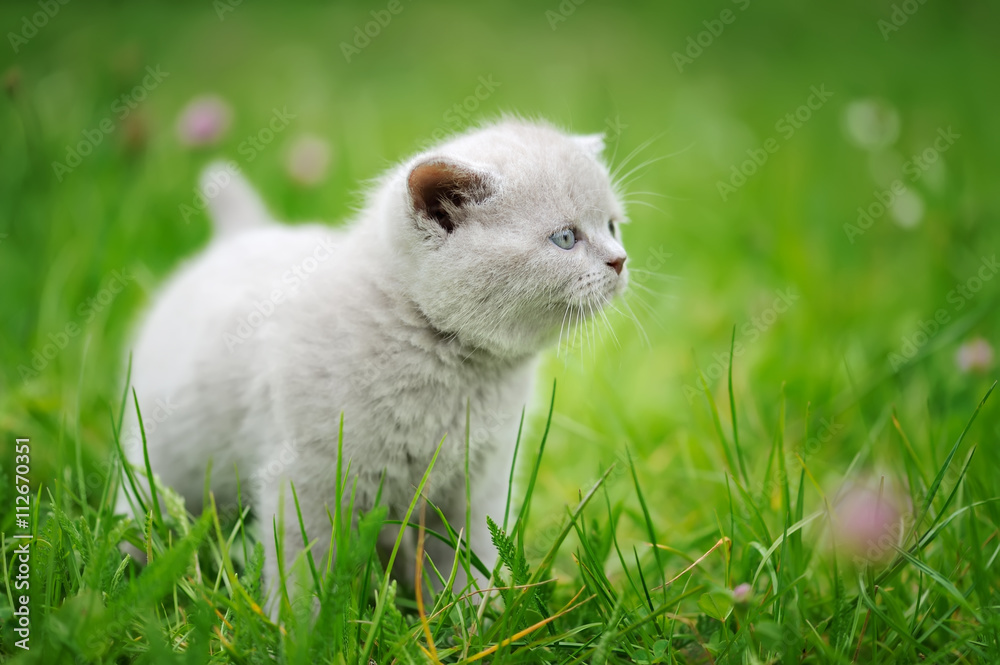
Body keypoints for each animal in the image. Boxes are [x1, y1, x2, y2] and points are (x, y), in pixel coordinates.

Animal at [119, 118, 624, 608]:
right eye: (565, 238)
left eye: (613, 226)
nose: (620, 260)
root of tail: (244, 235)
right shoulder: (306, 482)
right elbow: (303, 575)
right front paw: (301, 629)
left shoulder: (478, 485)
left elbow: (468, 564)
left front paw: (475, 622)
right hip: (159, 458)